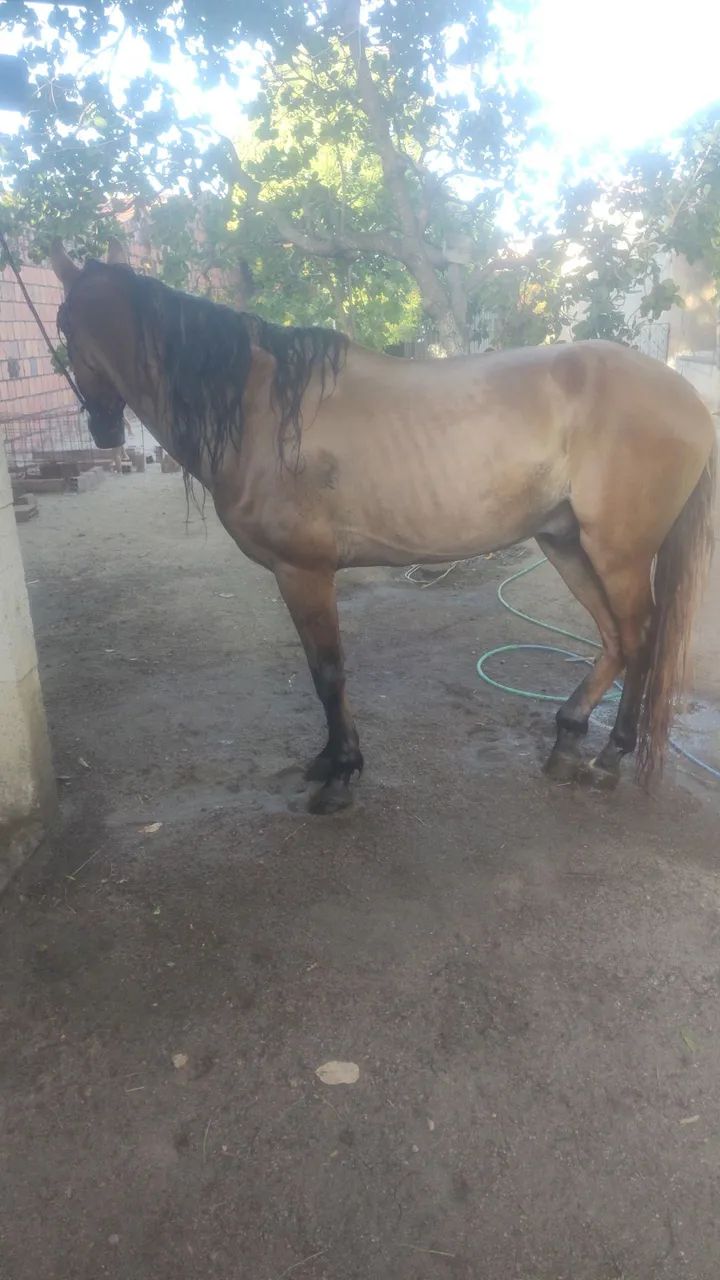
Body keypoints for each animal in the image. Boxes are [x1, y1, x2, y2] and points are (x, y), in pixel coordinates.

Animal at [51, 240, 716, 814]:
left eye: (63, 328)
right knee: (616, 638)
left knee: (642, 636)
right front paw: (329, 761)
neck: (263, 411)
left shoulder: (304, 572)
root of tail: (687, 398)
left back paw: (610, 757)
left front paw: (341, 773)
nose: (104, 430)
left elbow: (327, 673)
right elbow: (319, 671)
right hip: (565, 541)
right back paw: (569, 740)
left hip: (619, 551)